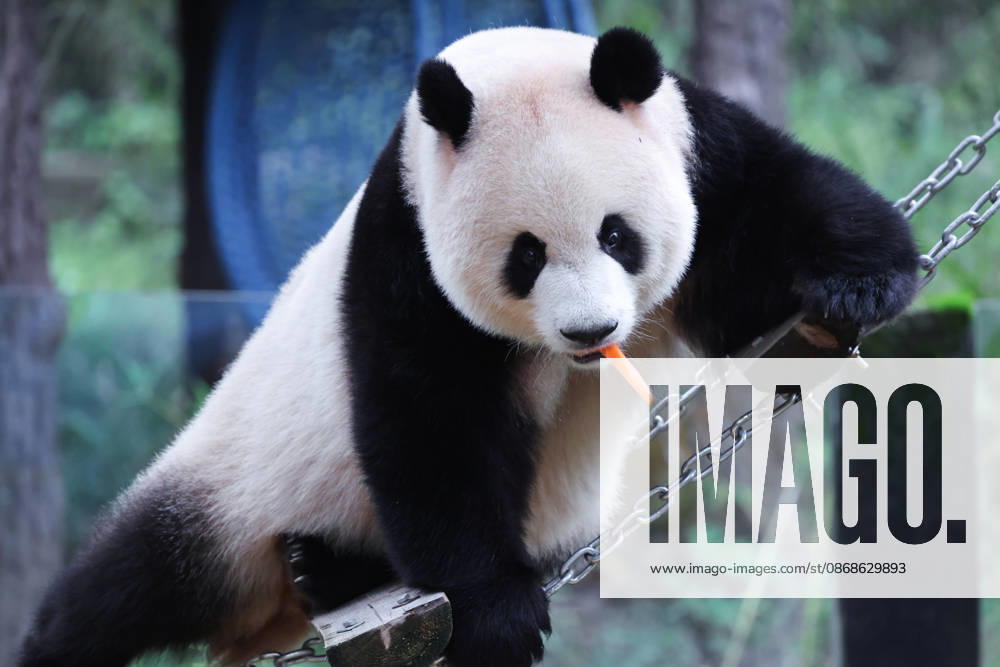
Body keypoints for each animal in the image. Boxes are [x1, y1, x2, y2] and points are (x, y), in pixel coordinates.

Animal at [19, 26, 917, 667]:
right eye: (525, 255)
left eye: (616, 234)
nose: (591, 332)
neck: (499, 64)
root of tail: (261, 617)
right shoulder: (406, 242)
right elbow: (430, 416)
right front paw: (499, 613)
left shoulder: (695, 152)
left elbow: (771, 212)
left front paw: (860, 284)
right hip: (227, 483)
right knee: (125, 584)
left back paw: (326, 568)